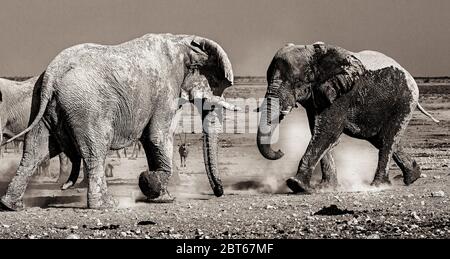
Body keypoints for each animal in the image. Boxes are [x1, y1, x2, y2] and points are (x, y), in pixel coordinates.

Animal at [0, 33, 237, 211]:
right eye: (216, 85)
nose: (218, 193)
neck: (183, 40)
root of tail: (52, 73)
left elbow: (152, 140)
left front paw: (162, 197)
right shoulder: (166, 90)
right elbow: (158, 137)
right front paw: (151, 184)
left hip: (42, 103)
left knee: (35, 151)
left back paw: (11, 205)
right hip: (87, 107)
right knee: (96, 150)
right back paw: (106, 205)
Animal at [256, 42, 440, 195]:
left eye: (298, 81)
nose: (281, 151)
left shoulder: (342, 93)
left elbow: (328, 131)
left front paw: (296, 185)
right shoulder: (318, 96)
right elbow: (318, 131)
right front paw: (326, 188)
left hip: (405, 102)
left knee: (388, 140)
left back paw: (378, 186)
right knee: (381, 139)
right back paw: (413, 176)